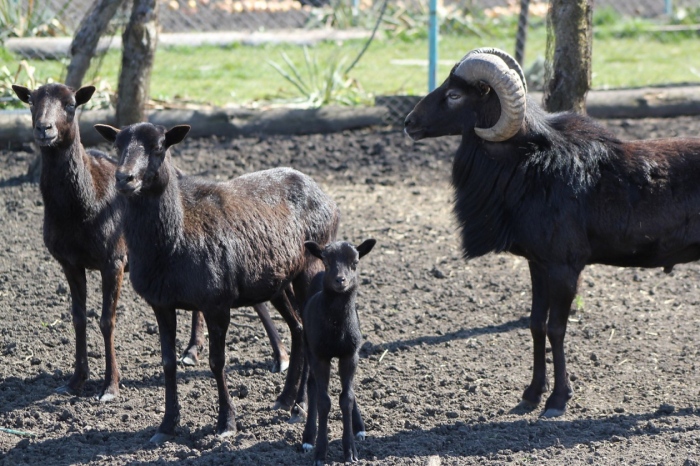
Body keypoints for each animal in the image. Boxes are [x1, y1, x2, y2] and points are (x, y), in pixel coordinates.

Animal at [404, 48, 700, 418]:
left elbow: (557, 329)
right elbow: (536, 324)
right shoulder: (538, 264)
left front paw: (557, 401)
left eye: (455, 94)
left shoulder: (564, 267)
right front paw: (531, 395)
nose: (408, 123)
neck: (531, 167)